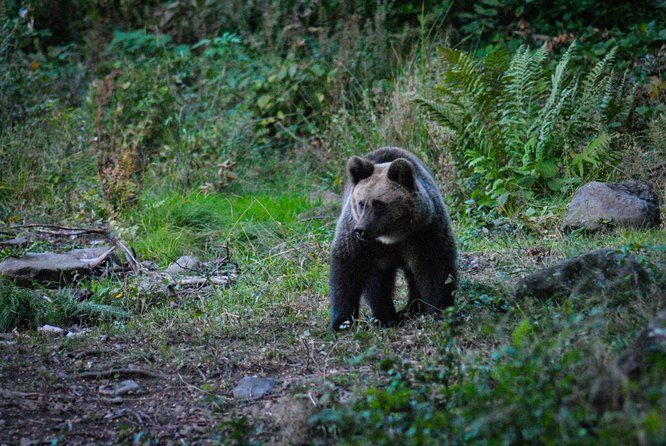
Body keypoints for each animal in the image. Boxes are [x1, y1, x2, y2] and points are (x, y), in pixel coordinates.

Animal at [328, 146, 457, 331]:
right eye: (361, 203)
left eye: (379, 203)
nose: (361, 230)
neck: (392, 236)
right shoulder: (361, 242)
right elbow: (347, 271)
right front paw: (342, 323)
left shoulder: (424, 233)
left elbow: (435, 269)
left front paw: (439, 311)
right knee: (377, 283)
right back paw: (386, 316)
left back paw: (411, 308)